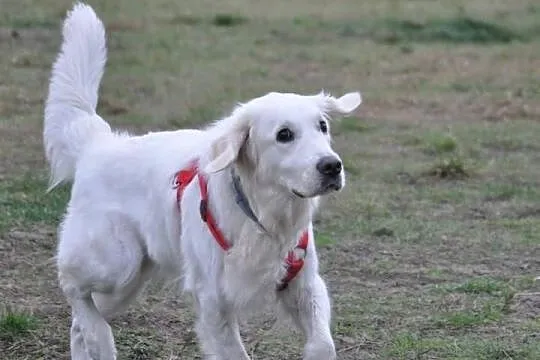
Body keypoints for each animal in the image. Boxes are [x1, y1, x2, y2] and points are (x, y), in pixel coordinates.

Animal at [44, 3, 360, 360]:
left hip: (129, 279)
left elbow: (322, 343)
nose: (332, 166)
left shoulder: (304, 285)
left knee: (79, 324)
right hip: (118, 263)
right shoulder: (214, 302)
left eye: (322, 126)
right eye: (284, 134)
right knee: (71, 283)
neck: (265, 217)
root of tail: (97, 143)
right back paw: (102, 335)